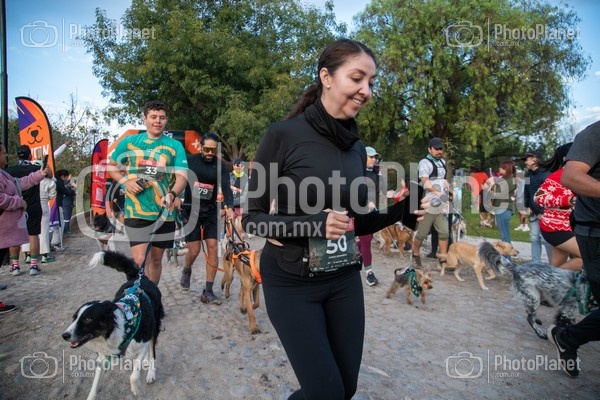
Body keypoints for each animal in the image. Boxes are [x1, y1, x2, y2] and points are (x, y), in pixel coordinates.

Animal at [62, 251, 165, 399]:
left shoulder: (142, 341)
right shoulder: (104, 357)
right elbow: (94, 387)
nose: (64, 335)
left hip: (154, 328)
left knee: (152, 352)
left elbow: (134, 376)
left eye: (88, 319)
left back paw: (151, 372)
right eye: (74, 318)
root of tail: (140, 278)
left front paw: (136, 388)